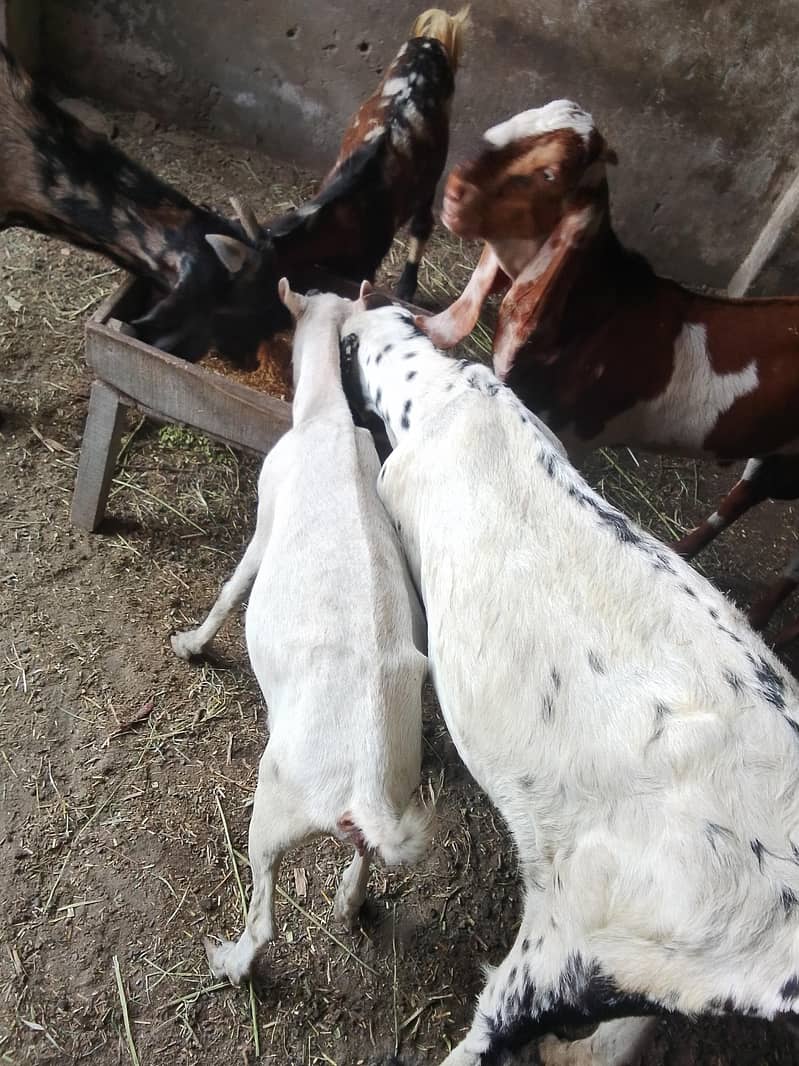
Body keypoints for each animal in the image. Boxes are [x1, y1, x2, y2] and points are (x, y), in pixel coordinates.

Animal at [171, 283, 429, 985]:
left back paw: (229, 960)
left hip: (276, 803)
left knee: (264, 912)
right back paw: (348, 902)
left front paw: (192, 644)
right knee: (365, 859)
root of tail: (363, 788)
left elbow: (234, 586)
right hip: (391, 798)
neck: (327, 419)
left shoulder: (267, 509)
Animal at [417, 100, 799, 642]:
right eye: (516, 120)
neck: (593, 306)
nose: (453, 189)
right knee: (742, 496)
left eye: (551, 173)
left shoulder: (560, 427)